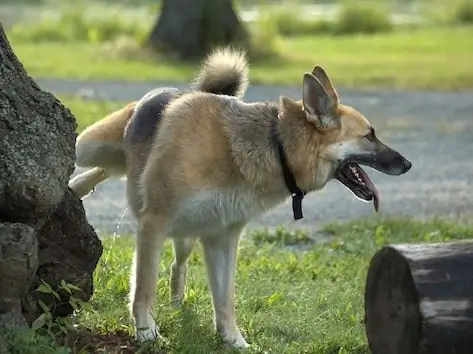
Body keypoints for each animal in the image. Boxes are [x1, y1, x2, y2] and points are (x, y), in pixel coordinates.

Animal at [68, 47, 412, 348]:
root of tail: (171, 91)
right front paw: (146, 333)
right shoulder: (154, 223)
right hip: (91, 146)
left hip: (187, 235)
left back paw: (177, 301)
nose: (407, 164)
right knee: (95, 162)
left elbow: (225, 299)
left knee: (177, 265)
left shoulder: (222, 237)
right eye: (369, 135)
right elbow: (144, 287)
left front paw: (234, 341)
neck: (275, 145)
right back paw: (76, 185)